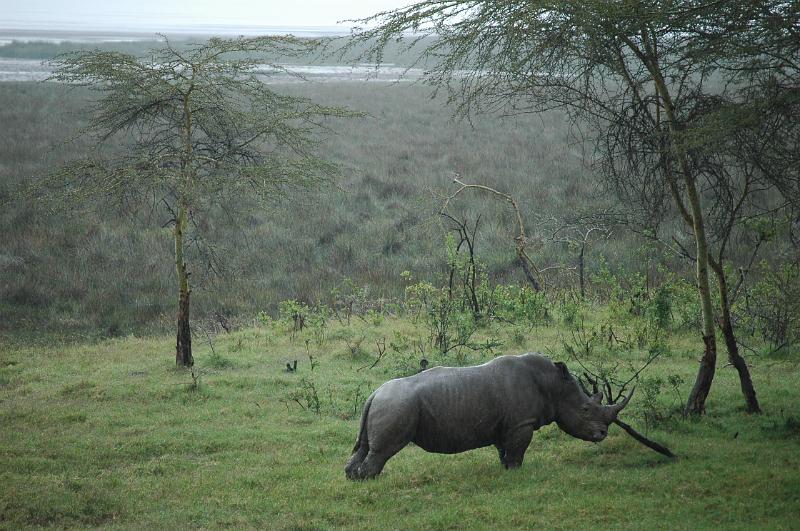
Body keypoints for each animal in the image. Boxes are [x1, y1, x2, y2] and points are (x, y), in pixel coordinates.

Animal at [345, 353, 632, 479]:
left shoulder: (505, 425)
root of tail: (374, 394)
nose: (602, 434)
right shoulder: (521, 423)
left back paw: (354, 480)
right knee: (382, 451)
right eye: (585, 409)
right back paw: (373, 483)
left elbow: (505, 450)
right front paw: (516, 475)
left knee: (365, 447)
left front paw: (505, 471)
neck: (552, 384)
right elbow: (517, 451)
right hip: (396, 405)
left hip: (386, 403)